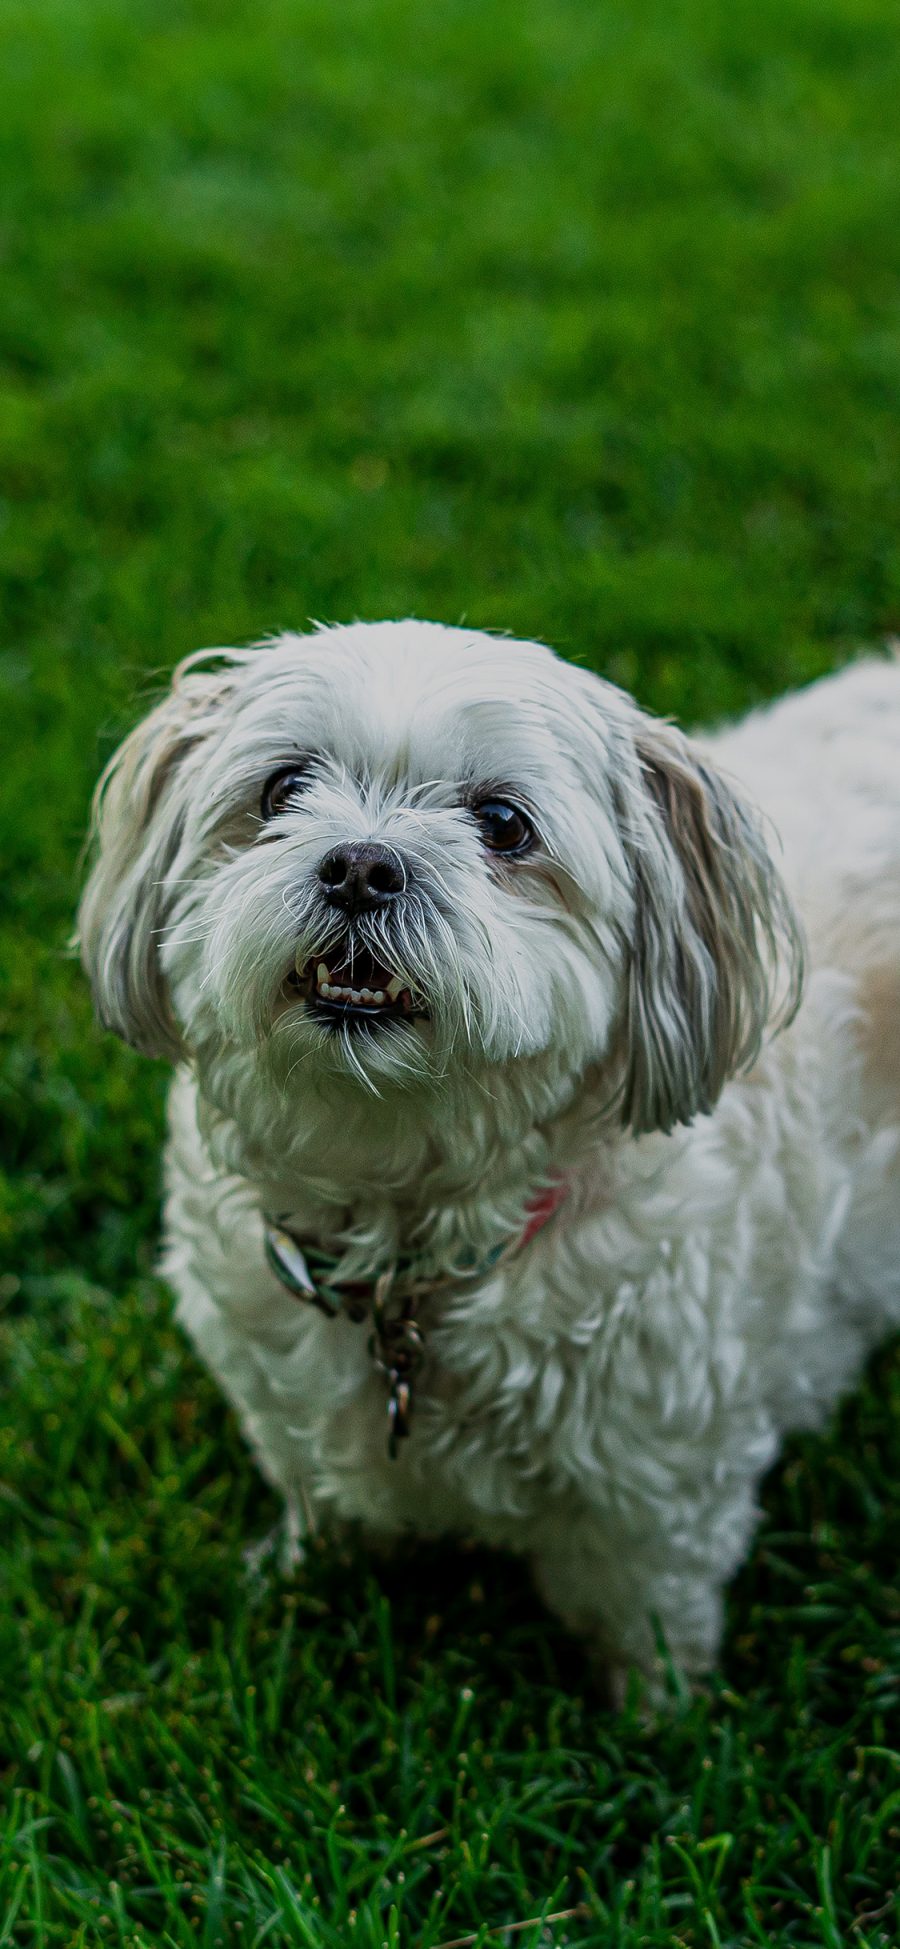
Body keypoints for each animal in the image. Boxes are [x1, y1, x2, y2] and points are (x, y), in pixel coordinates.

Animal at [75, 619, 900, 1691]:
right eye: (283, 788)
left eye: (504, 823)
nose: (360, 865)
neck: (406, 1244)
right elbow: (313, 1492)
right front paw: (292, 1579)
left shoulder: (662, 1487)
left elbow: (652, 1616)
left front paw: (656, 1712)